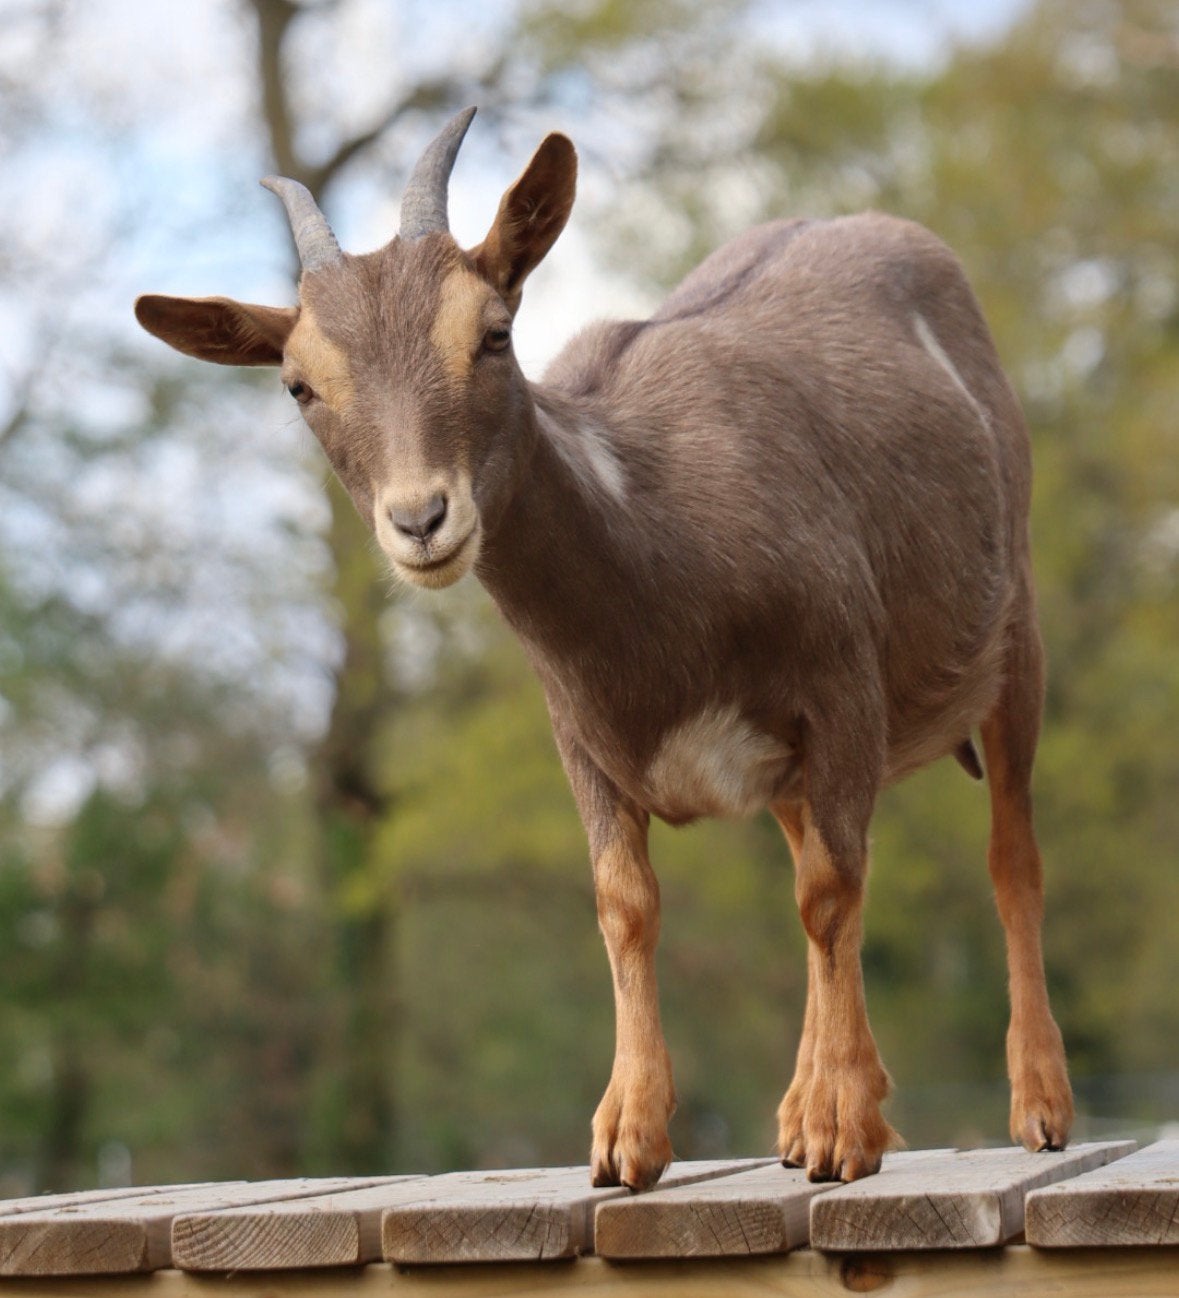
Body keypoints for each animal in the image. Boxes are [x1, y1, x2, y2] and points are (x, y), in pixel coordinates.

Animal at [135, 107, 1073, 1187]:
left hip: (1016, 625)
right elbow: (626, 901)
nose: (421, 520)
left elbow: (834, 889)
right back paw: (797, 1115)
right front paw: (631, 1135)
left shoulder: (842, 680)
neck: (661, 551)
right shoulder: (583, 735)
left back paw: (1036, 1105)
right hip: (791, 771)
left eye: (494, 333)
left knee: (1012, 851)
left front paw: (845, 1128)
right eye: (298, 384)